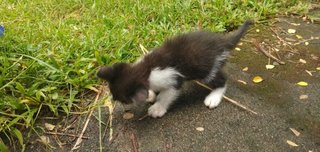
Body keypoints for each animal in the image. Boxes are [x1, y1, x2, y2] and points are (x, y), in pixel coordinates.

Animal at [97, 19, 252, 117]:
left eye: (123, 100)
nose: (114, 101)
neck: (146, 69)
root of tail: (222, 41)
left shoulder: (173, 78)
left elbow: (167, 95)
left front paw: (158, 108)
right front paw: (151, 94)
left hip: (207, 69)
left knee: (222, 79)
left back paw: (214, 97)